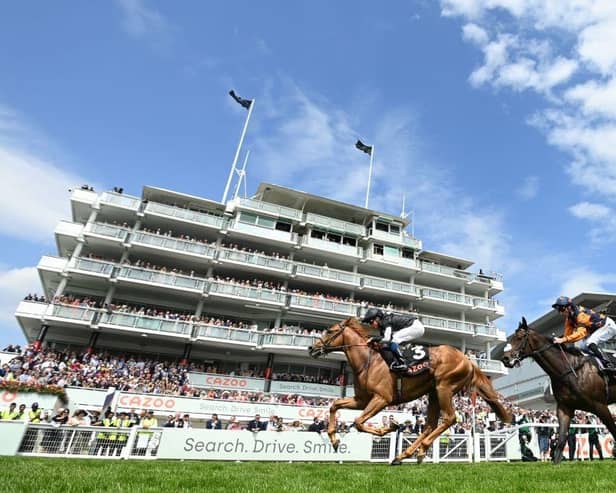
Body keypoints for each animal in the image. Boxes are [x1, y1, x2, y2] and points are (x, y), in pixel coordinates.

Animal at [308, 318, 510, 464]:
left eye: (331, 331)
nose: (311, 348)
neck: (367, 361)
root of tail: (467, 360)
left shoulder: (381, 398)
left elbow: (358, 422)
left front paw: (388, 427)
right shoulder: (362, 400)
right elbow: (335, 405)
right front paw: (334, 440)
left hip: (444, 387)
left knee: (449, 418)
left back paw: (421, 449)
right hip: (433, 393)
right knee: (430, 425)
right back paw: (405, 454)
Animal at [500, 318, 616, 464]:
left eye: (519, 337)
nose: (505, 358)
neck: (570, 370)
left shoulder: (600, 406)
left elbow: (613, 429)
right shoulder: (564, 408)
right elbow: (560, 440)